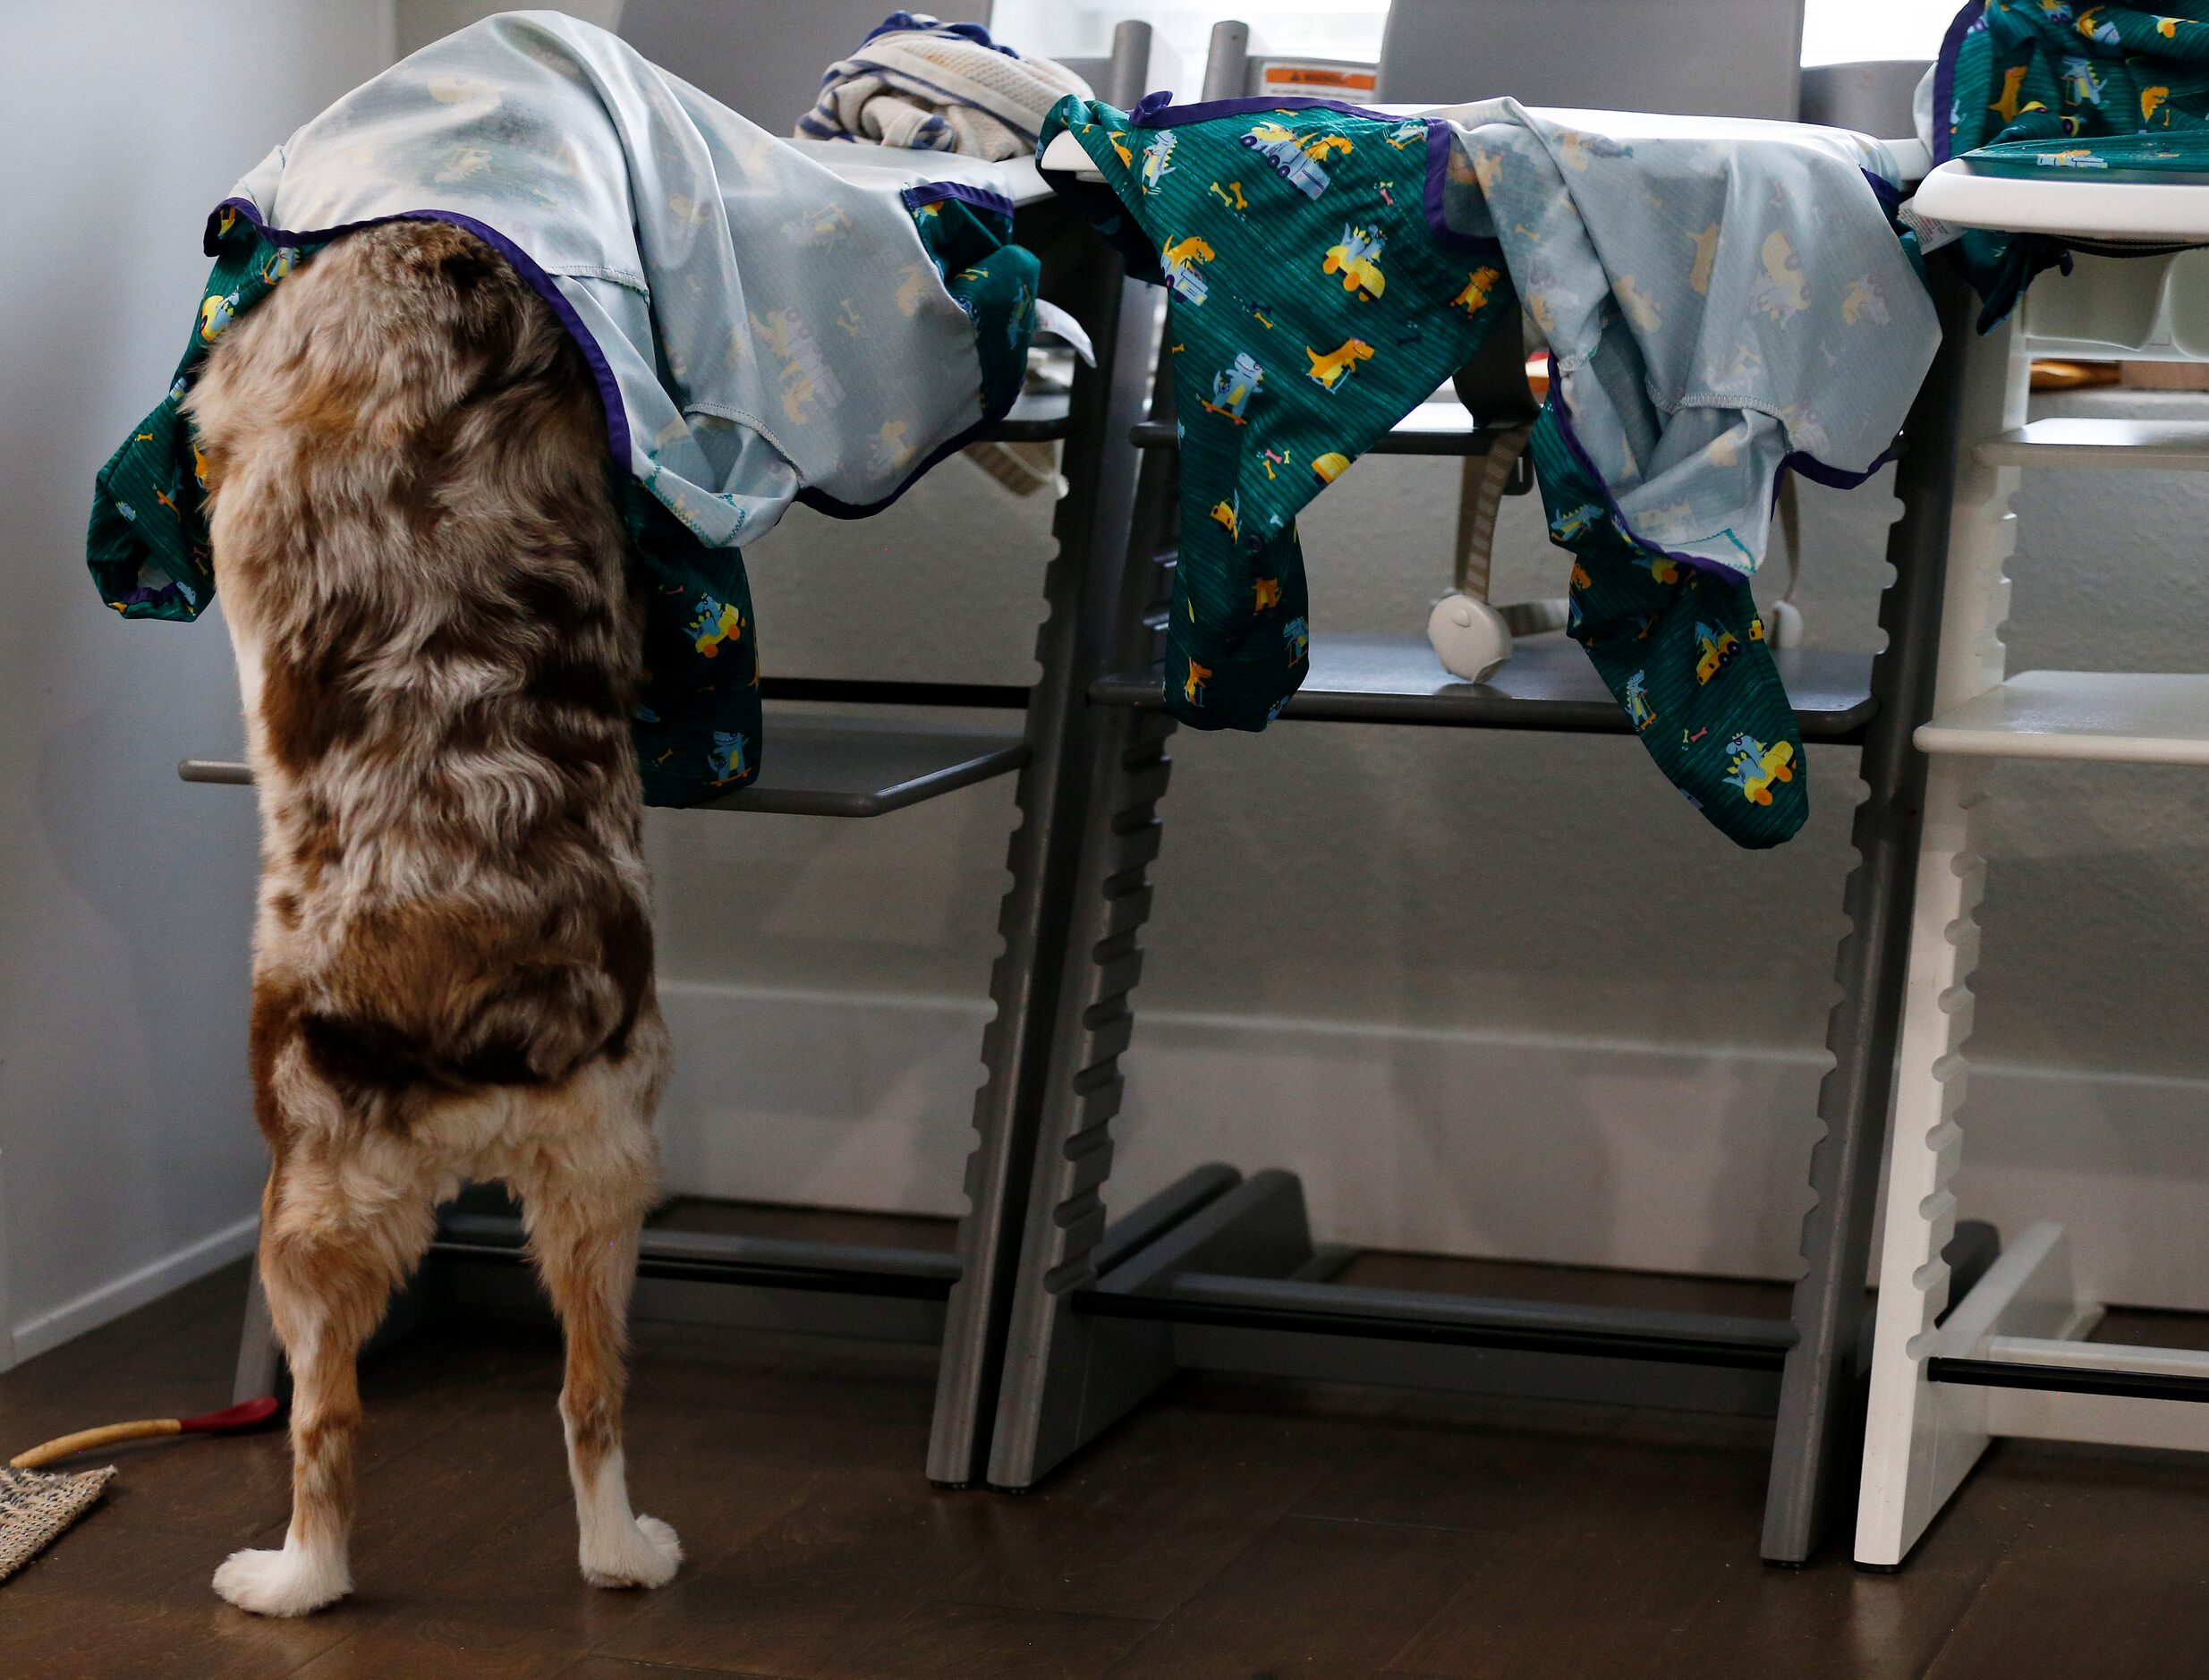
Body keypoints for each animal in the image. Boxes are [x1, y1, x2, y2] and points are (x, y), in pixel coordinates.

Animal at [190, 219, 680, 1616]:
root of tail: (511, 1011)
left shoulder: (256, 394)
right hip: (603, 1185)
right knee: (591, 1396)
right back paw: (626, 1554)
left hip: (310, 1207)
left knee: (326, 1424)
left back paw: (284, 1579)